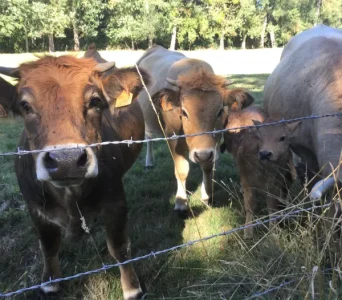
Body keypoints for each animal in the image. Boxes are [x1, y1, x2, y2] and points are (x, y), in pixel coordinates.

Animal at [0, 56, 150, 300]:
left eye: (95, 102)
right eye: (25, 105)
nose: (66, 160)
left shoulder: (116, 202)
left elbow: (119, 247)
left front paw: (132, 287)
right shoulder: (35, 208)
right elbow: (48, 246)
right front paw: (50, 282)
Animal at [137, 45, 254, 213]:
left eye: (220, 111)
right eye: (184, 112)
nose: (202, 154)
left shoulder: (213, 142)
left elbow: (207, 166)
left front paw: (207, 196)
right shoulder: (172, 136)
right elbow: (181, 169)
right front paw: (180, 202)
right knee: (149, 137)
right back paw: (149, 161)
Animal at [222, 106, 296, 238]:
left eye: (282, 137)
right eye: (259, 137)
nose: (265, 154)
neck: (264, 171)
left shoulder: (275, 184)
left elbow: (272, 205)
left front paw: (273, 230)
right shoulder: (247, 181)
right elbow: (250, 205)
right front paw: (248, 231)